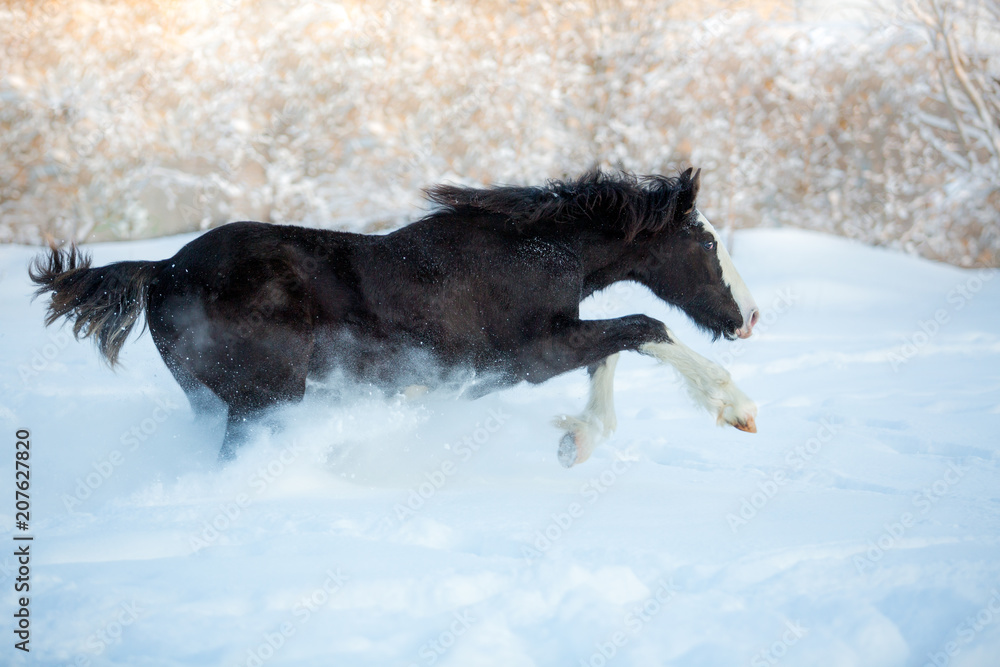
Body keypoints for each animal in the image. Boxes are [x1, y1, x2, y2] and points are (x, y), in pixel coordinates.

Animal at [30, 168, 759, 466]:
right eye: (704, 244)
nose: (749, 316)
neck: (535, 250)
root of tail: (161, 269)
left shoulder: (520, 361)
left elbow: (611, 351)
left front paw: (576, 441)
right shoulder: (528, 357)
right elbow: (643, 329)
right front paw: (735, 406)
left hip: (213, 399)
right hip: (264, 399)